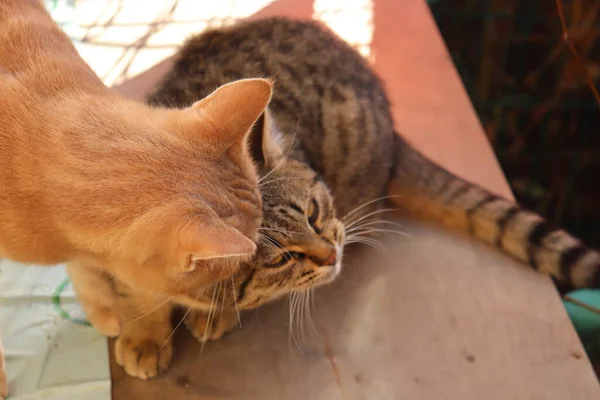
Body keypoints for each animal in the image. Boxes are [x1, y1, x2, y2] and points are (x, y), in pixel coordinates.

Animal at [85, 18, 600, 382]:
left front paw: (213, 313)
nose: (331, 253)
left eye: (314, 214)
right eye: (280, 259)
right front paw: (146, 333)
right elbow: (137, 294)